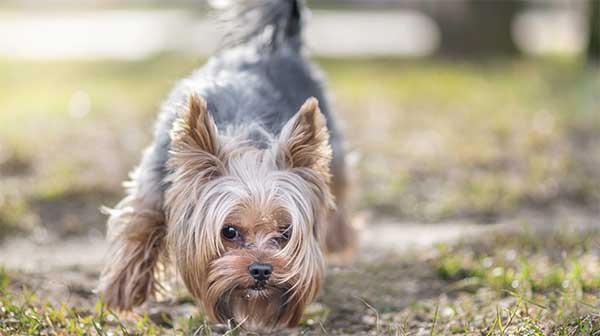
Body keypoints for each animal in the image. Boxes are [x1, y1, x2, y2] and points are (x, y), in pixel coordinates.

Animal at [96, 0, 354, 330]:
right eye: (228, 232)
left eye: (285, 232)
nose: (261, 269)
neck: (244, 141)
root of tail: (277, 45)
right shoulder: (155, 181)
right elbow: (140, 225)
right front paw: (124, 291)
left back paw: (340, 241)